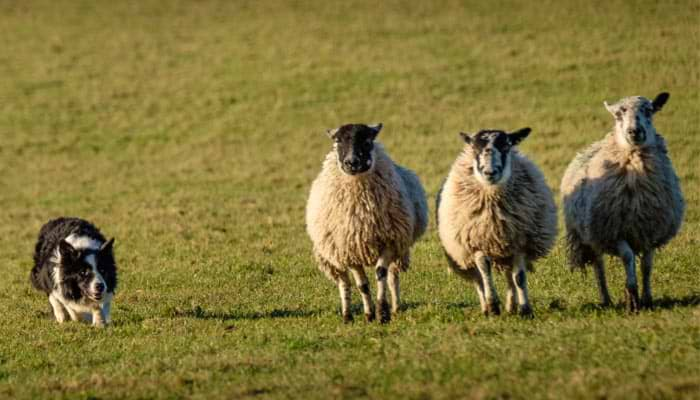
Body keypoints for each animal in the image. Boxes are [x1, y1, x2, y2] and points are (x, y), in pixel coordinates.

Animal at [304, 123, 426, 324]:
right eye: (338, 141)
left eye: (367, 141)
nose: (351, 162)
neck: (362, 213)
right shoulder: (349, 250)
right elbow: (362, 285)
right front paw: (369, 314)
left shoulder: (390, 241)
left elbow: (380, 273)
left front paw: (382, 313)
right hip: (332, 255)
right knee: (344, 282)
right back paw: (347, 315)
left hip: (400, 248)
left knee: (393, 276)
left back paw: (395, 307)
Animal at [438, 126, 556, 318]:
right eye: (475, 149)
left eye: (506, 146)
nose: (490, 173)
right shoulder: (476, 243)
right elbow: (485, 273)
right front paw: (493, 306)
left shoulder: (519, 242)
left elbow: (519, 277)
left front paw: (525, 309)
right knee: (478, 280)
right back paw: (486, 307)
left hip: (506, 251)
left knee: (509, 277)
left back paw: (511, 306)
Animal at [564, 92, 684, 310]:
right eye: (618, 114)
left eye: (649, 110)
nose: (634, 131)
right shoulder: (614, 232)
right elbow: (627, 258)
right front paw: (632, 297)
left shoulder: (650, 232)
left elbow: (647, 266)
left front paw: (647, 298)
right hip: (591, 234)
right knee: (599, 266)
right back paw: (606, 299)